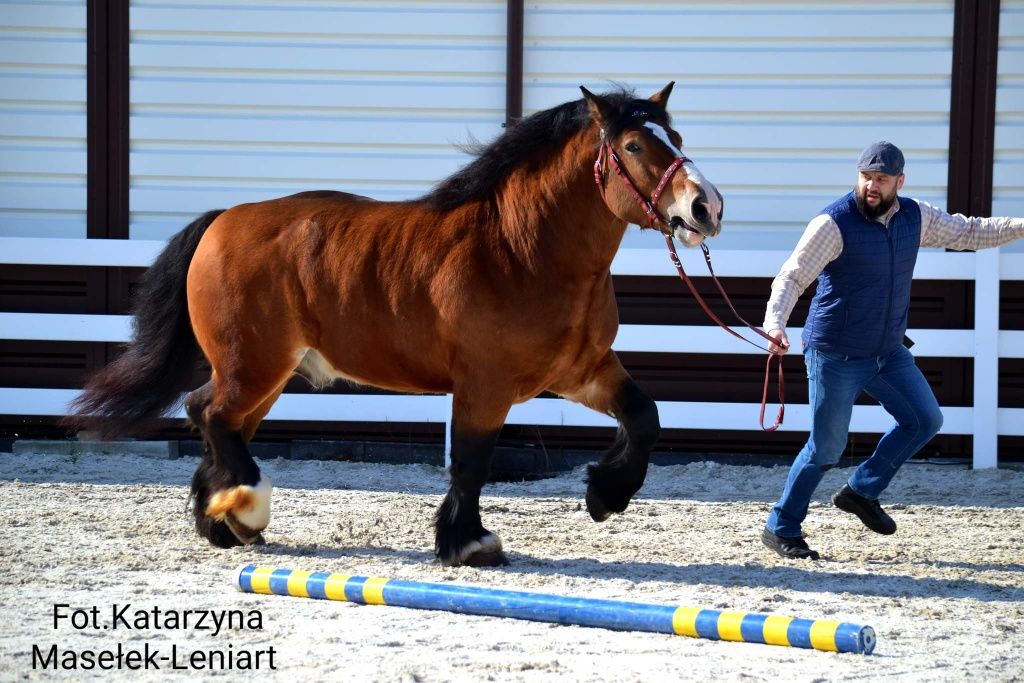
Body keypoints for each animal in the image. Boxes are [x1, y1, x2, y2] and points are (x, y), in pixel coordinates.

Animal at [70, 82, 720, 565]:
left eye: (676, 138)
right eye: (633, 146)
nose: (705, 206)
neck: (520, 250)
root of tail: (224, 219)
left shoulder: (580, 372)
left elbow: (644, 416)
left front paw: (605, 495)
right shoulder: (485, 385)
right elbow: (472, 461)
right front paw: (469, 542)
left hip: (265, 374)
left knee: (222, 423)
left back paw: (225, 522)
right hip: (253, 366)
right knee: (208, 412)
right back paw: (245, 508)